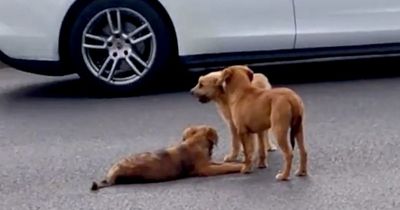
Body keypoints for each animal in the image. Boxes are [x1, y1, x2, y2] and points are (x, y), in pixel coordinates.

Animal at [90, 125, 244, 191]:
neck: (194, 142)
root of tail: (111, 175)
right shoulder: (206, 169)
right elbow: (225, 167)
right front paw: (238, 166)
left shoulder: (209, 163)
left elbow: (221, 164)